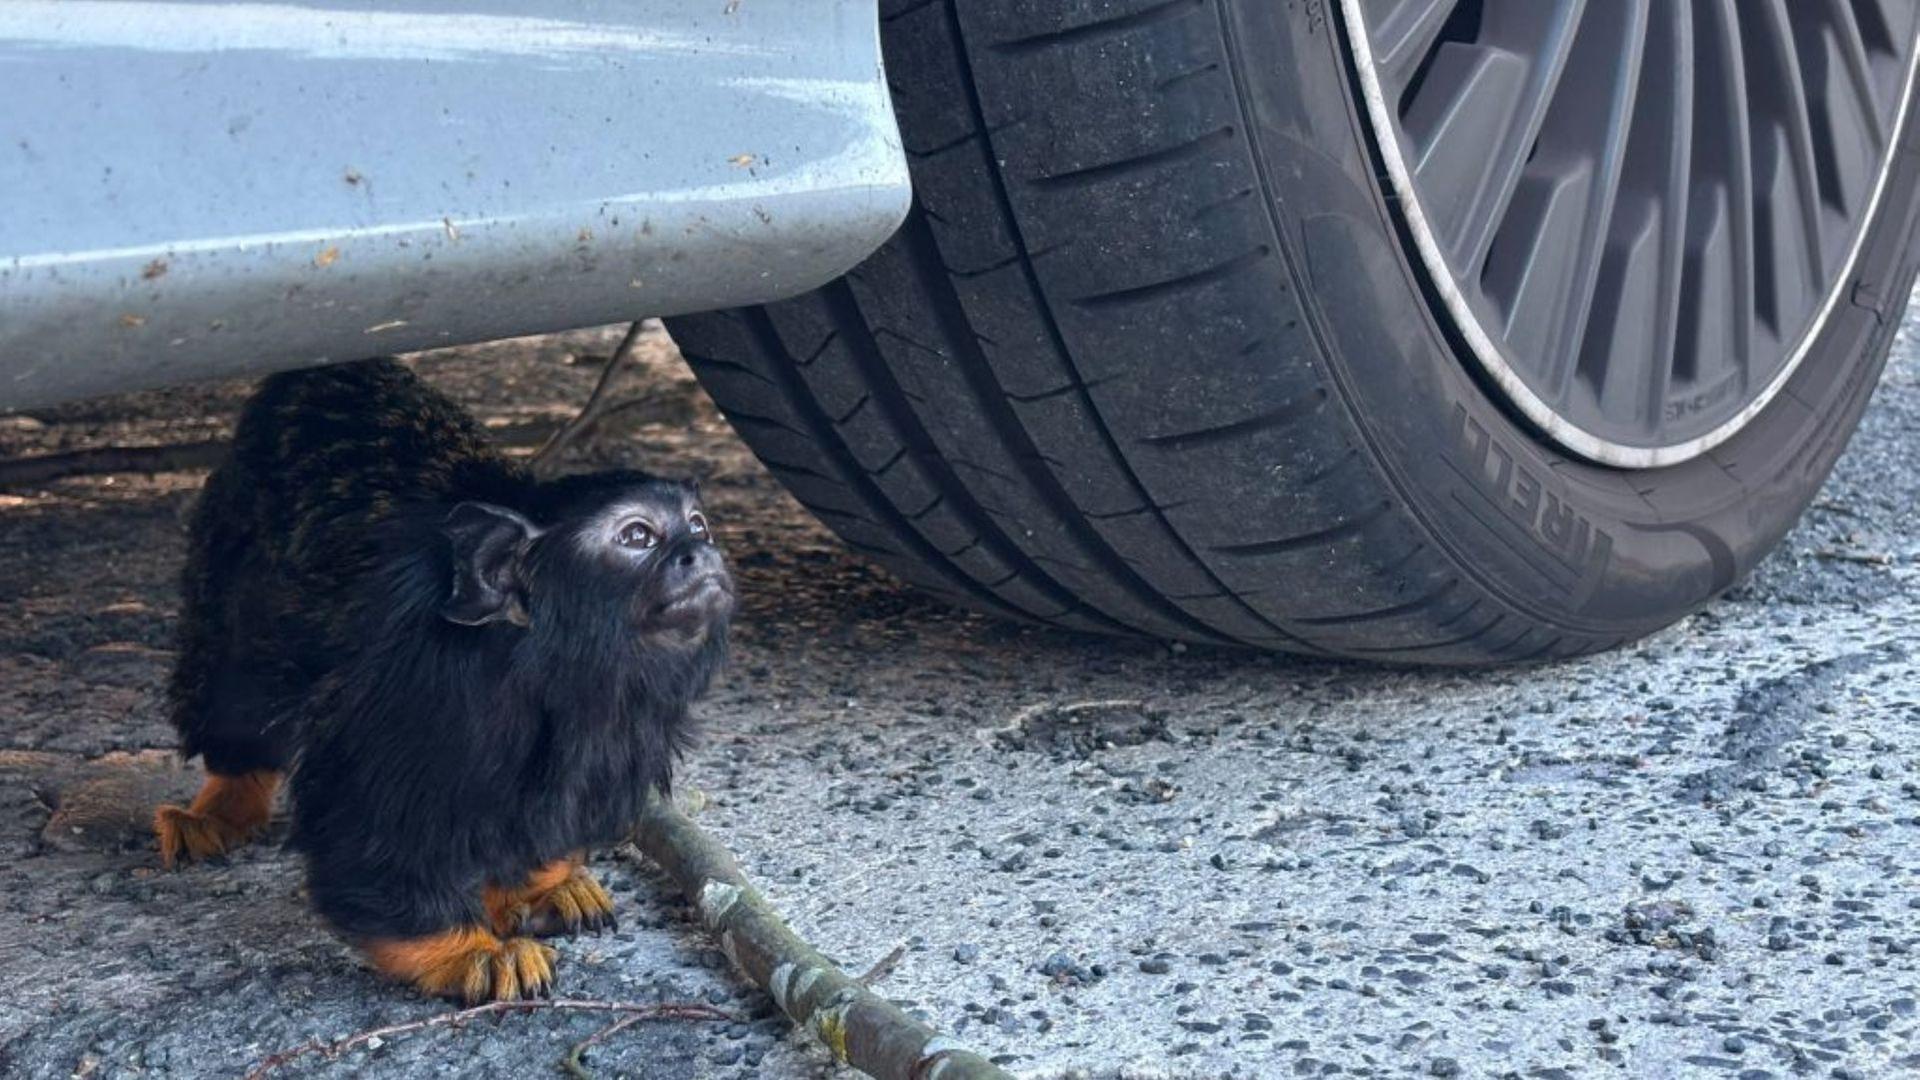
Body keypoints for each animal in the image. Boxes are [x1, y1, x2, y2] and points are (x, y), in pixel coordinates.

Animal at [153, 357, 733, 1002]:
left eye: (698, 527)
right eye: (638, 537)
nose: (701, 555)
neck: (536, 662)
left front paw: (538, 886)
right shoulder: (417, 689)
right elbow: (368, 825)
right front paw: (467, 949)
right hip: (233, 554)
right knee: (237, 692)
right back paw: (224, 801)